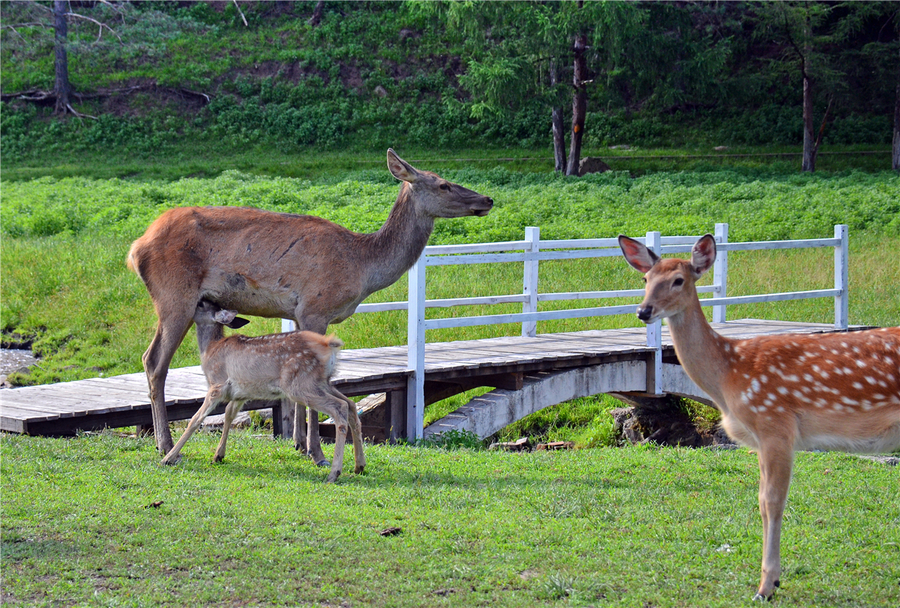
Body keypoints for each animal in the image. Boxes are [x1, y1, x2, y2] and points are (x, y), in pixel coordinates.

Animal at [128, 148, 492, 460]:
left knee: (150, 359)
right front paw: (316, 451)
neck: (362, 266)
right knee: (154, 361)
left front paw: (298, 444)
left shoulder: (299, 314)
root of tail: (135, 248)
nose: (487, 199)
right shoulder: (316, 307)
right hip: (174, 296)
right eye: (443, 184)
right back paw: (165, 444)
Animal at [162, 300, 362, 484]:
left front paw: (168, 458)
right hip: (322, 382)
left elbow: (195, 419)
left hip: (300, 384)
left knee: (340, 407)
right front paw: (218, 455)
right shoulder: (241, 393)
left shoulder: (216, 385)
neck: (210, 350)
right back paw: (359, 466)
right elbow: (228, 415)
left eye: (202, 304)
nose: (192, 304)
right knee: (351, 405)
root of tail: (330, 344)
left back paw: (334, 473)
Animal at [620, 232, 900, 600]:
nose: (643, 311)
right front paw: (771, 581)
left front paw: (767, 585)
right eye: (645, 279)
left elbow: (771, 502)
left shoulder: (774, 424)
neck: (729, 376)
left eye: (679, 280)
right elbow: (762, 501)